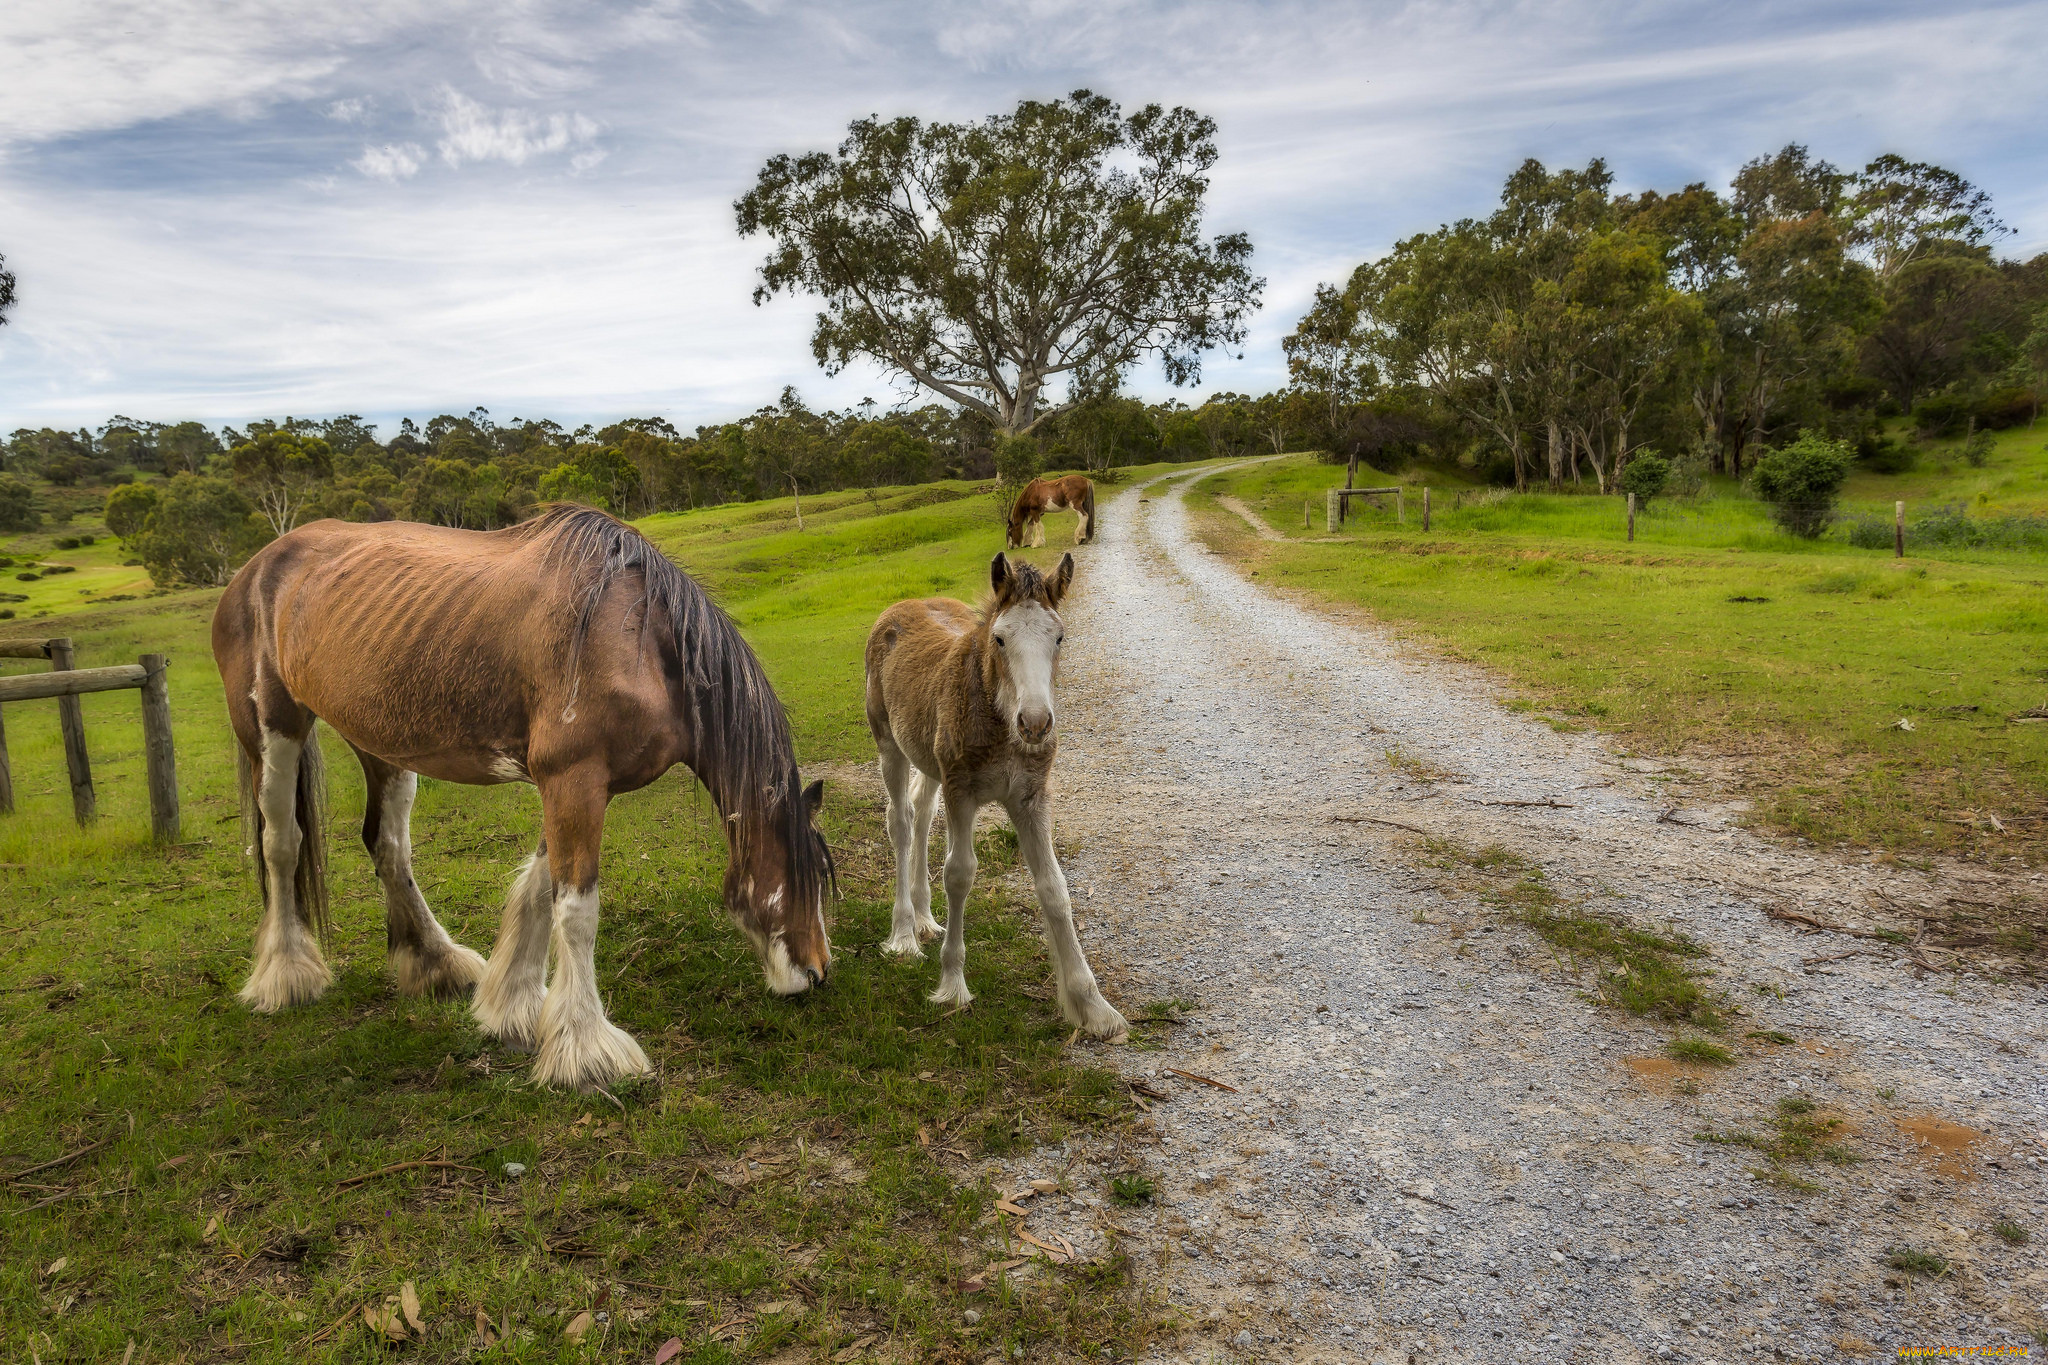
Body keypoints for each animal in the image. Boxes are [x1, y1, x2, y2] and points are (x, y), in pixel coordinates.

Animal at [214, 507, 831, 1096]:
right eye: (811, 875)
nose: (818, 972)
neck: (639, 642)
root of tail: (254, 569)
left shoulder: (570, 788)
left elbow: (538, 890)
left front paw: (512, 1007)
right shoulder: (573, 781)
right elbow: (576, 912)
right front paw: (586, 1053)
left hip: (382, 743)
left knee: (387, 846)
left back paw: (436, 963)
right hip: (273, 730)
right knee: (281, 845)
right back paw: (287, 975)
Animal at [860, 548, 1130, 1039]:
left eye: (1059, 637)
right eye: (1001, 640)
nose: (1036, 724)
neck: (1000, 720)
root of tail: (899, 606)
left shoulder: (1031, 798)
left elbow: (1054, 888)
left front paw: (1093, 1007)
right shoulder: (962, 791)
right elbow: (960, 873)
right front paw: (952, 984)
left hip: (929, 758)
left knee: (922, 810)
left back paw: (926, 921)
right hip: (889, 743)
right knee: (901, 822)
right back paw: (905, 934)